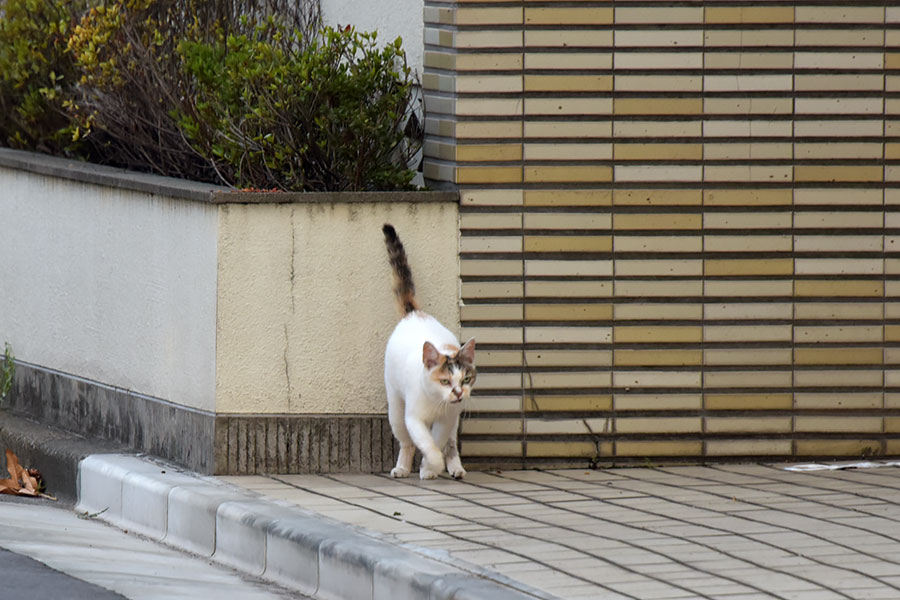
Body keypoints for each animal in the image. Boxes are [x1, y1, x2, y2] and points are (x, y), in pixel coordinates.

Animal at [382, 223, 478, 480]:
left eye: (465, 379)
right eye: (445, 381)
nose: (458, 392)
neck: (438, 403)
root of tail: (415, 314)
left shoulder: (448, 418)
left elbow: (438, 440)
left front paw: (429, 467)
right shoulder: (414, 418)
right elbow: (426, 443)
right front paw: (431, 466)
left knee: (451, 442)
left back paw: (456, 468)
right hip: (396, 408)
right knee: (406, 441)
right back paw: (402, 467)